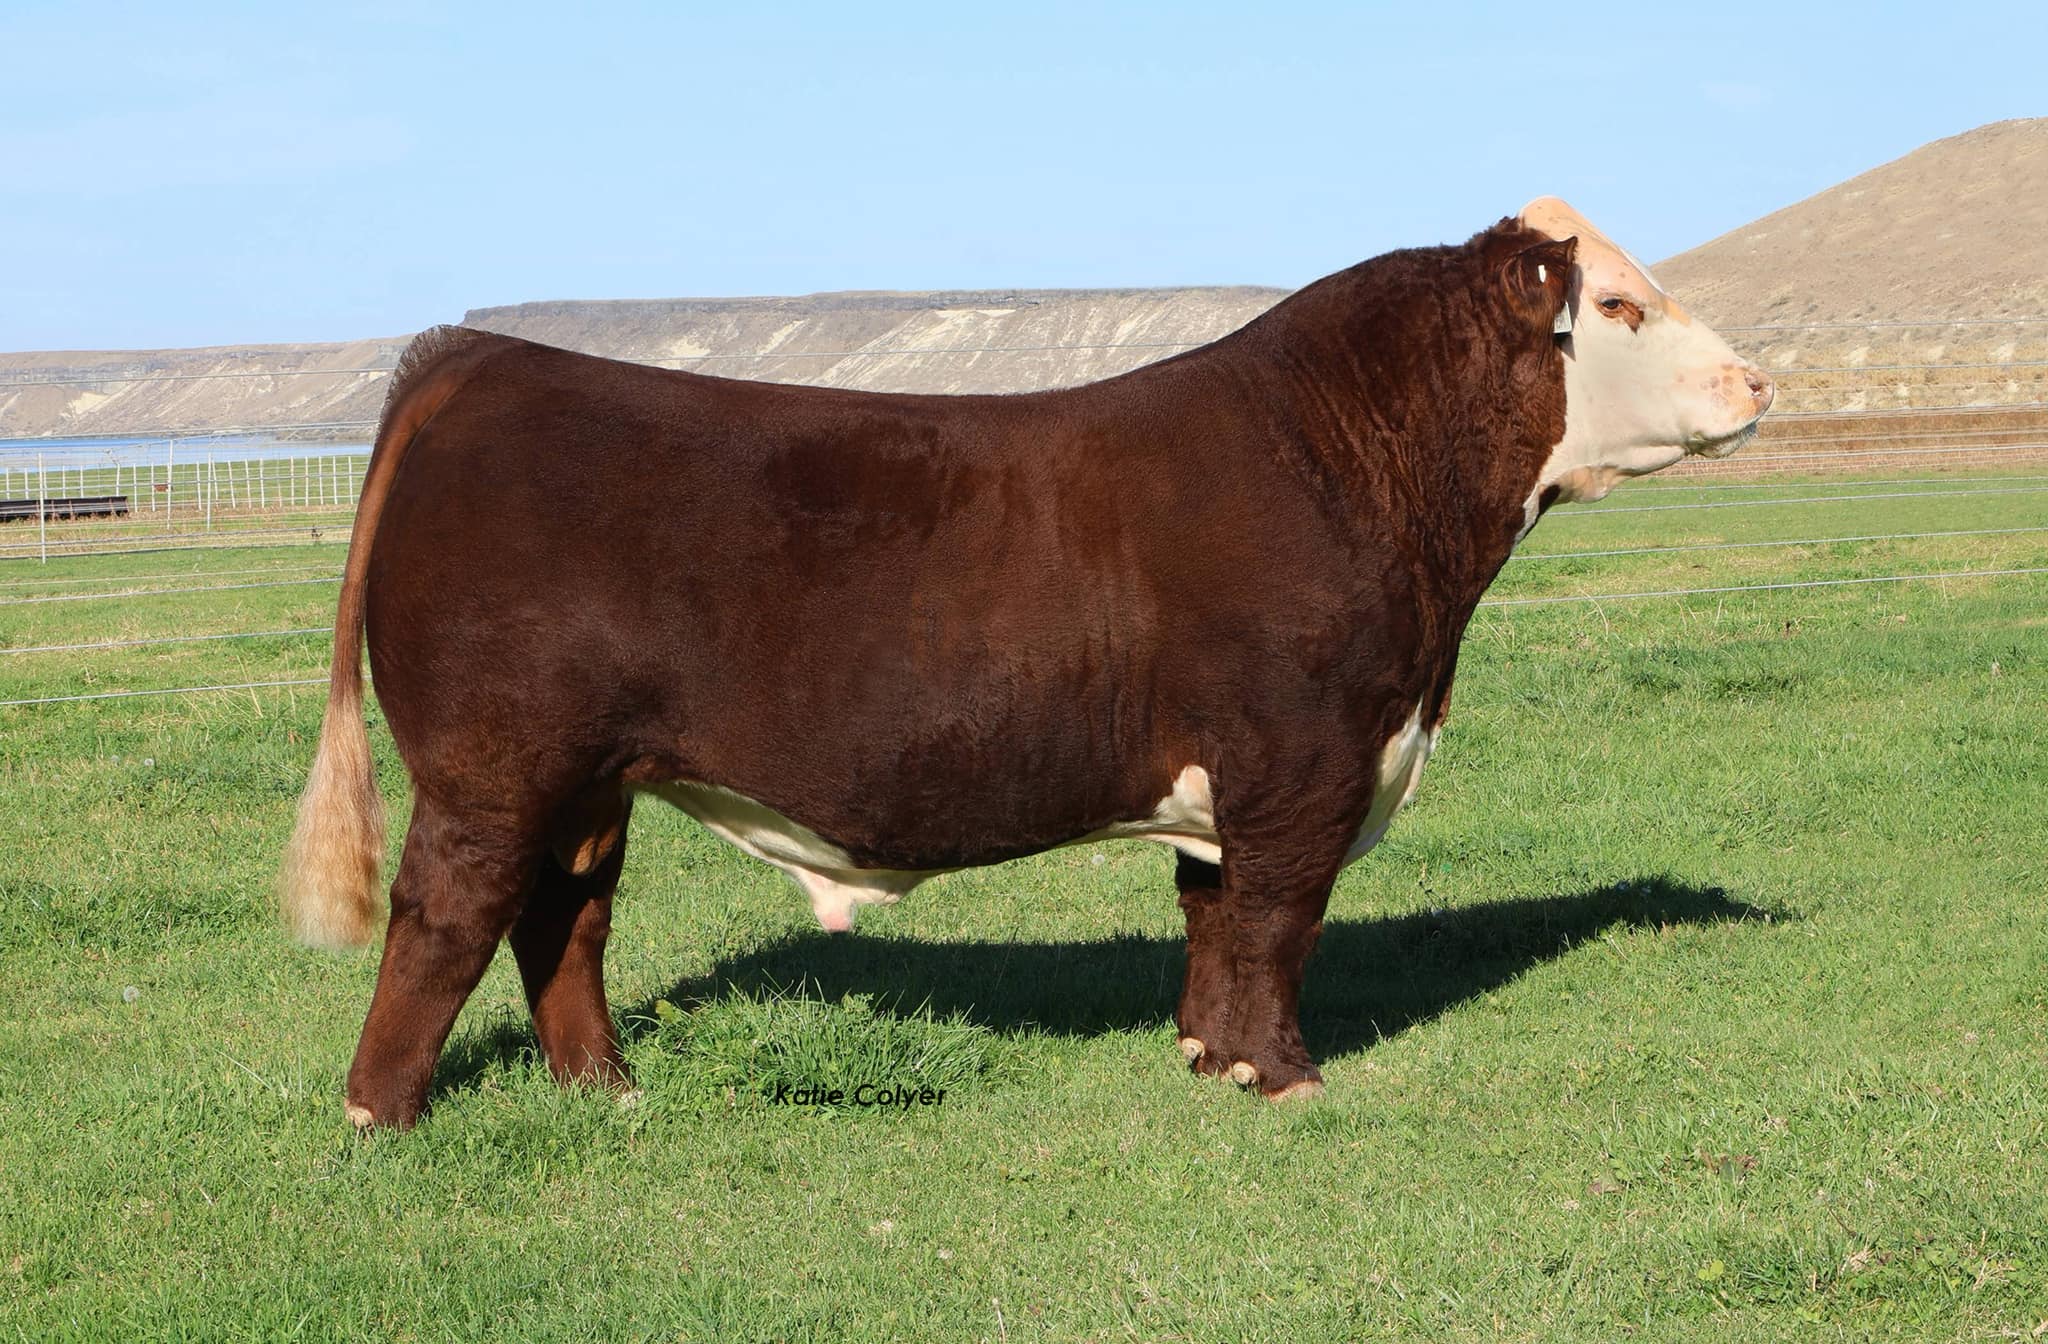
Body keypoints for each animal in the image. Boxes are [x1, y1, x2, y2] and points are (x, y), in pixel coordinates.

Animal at [282, 198, 1772, 1129]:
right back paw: (380, 1114)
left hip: (592, 780)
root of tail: (477, 363)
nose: (1758, 383)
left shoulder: (1232, 781)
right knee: (448, 912)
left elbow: (1214, 917)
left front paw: (1208, 1059)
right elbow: (1278, 923)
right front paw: (1286, 1080)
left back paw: (607, 1090)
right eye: (1621, 304)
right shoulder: (1304, 760)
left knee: (565, 916)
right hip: (494, 768)